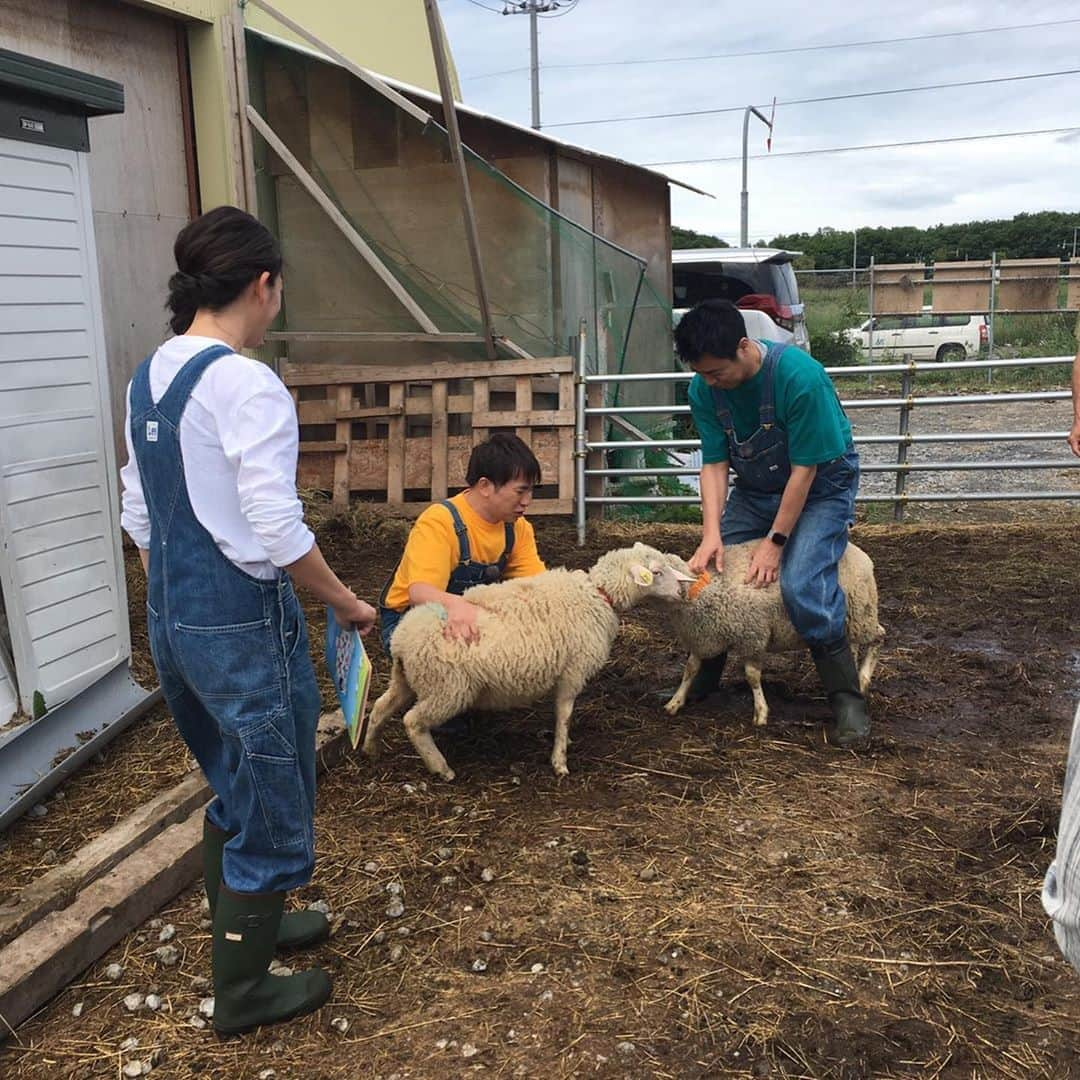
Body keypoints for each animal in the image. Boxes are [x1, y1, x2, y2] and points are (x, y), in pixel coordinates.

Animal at [362, 544, 691, 781]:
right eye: (657, 572)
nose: (680, 592)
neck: (597, 594)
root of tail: (402, 640)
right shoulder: (573, 672)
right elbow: (564, 715)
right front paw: (560, 760)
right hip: (448, 687)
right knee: (412, 721)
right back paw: (441, 768)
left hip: (407, 679)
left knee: (380, 707)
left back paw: (371, 748)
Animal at [652, 544, 881, 730]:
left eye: (657, 572)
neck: (704, 591)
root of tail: (861, 555)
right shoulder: (702, 638)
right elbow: (690, 670)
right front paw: (676, 701)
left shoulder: (752, 638)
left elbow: (752, 676)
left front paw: (761, 712)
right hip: (851, 620)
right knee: (853, 645)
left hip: (862, 612)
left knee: (878, 637)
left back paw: (863, 679)